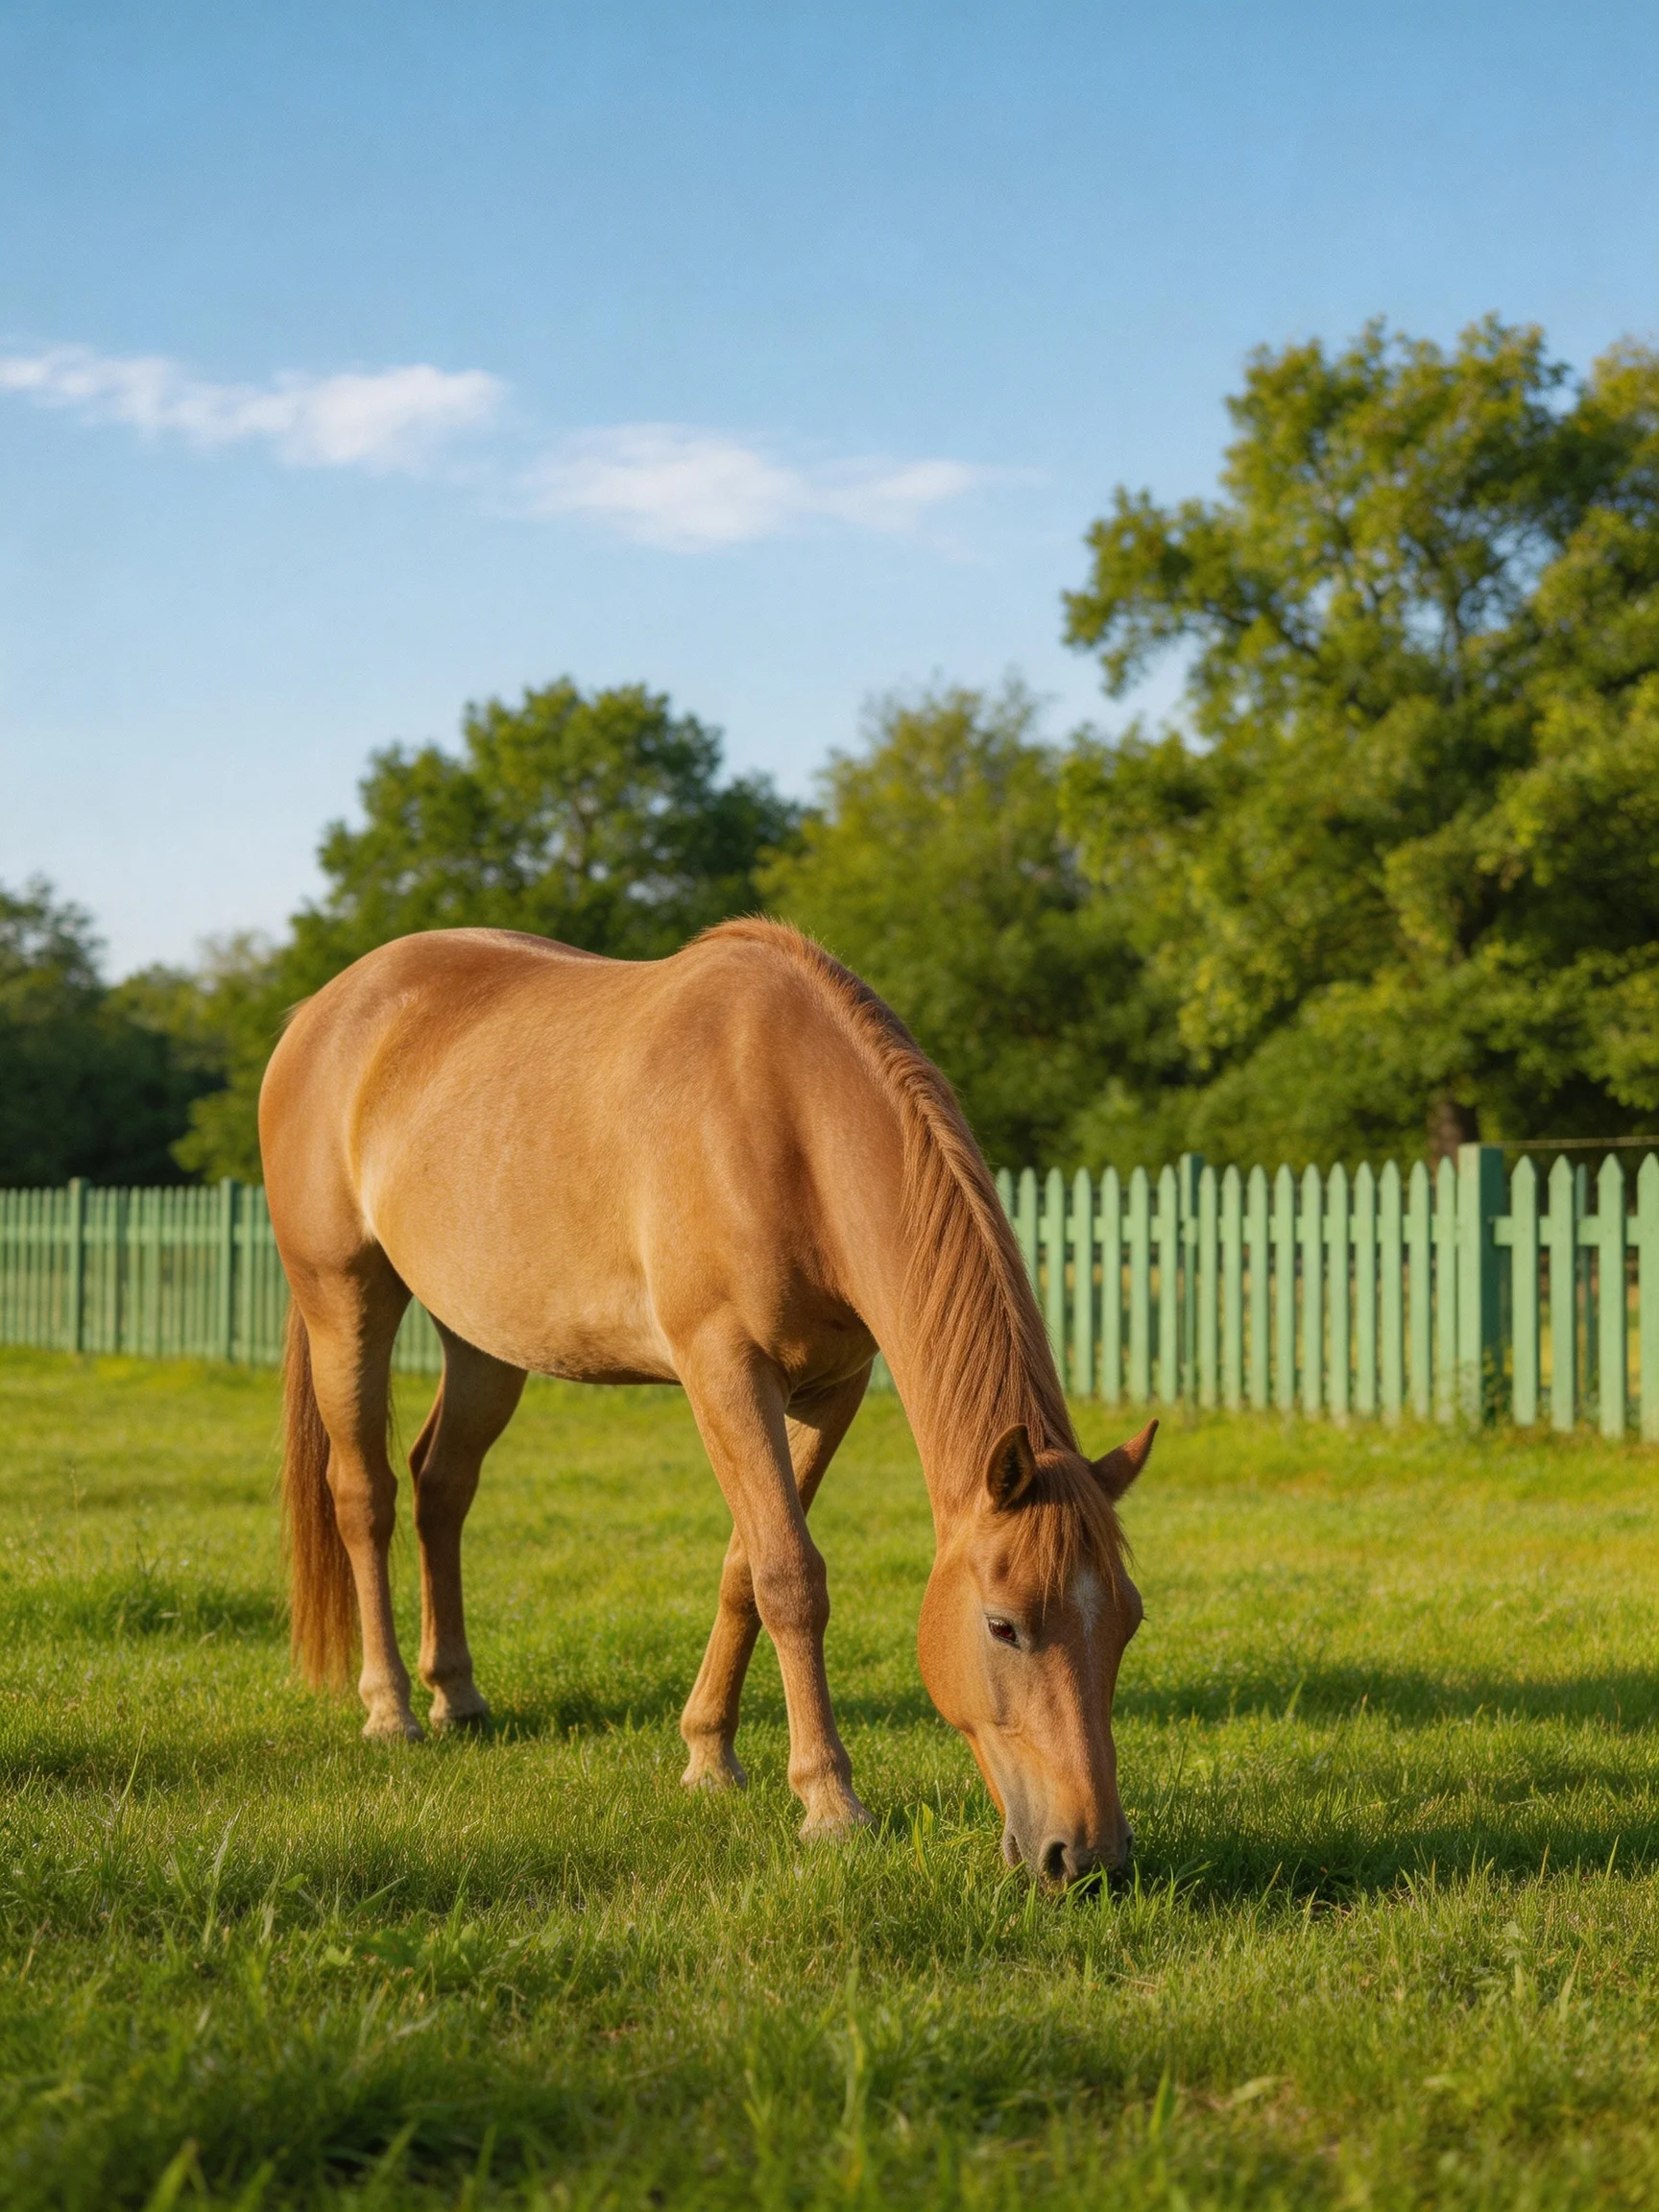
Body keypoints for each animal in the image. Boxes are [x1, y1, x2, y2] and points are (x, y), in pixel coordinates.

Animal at [260, 919, 1155, 1880]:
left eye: (1129, 1623)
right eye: (1002, 1626)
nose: (1089, 1856)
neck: (787, 1120)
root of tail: (319, 1012)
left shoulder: (830, 1388)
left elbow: (744, 1568)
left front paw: (708, 1755)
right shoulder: (722, 1368)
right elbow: (789, 1575)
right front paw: (829, 1802)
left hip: (482, 1341)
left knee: (441, 1488)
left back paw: (455, 1696)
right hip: (345, 1302)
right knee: (366, 1496)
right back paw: (388, 1708)